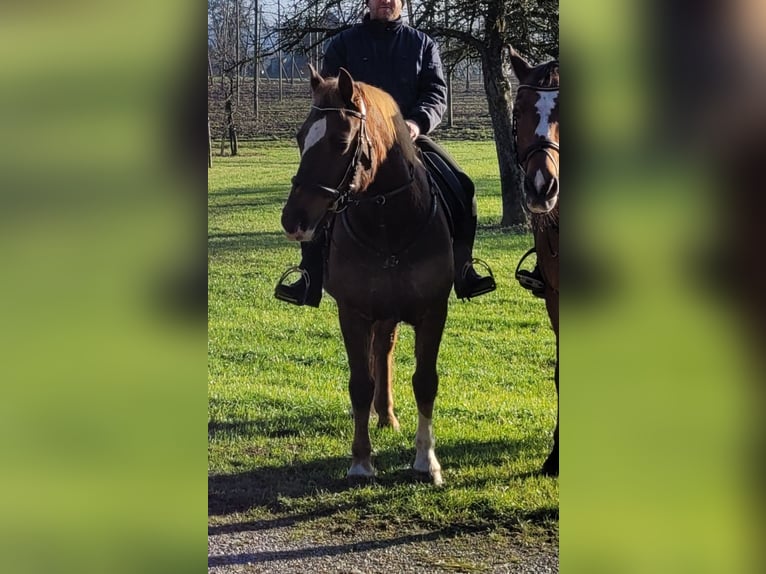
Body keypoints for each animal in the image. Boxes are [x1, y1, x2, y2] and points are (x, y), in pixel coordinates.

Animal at [280, 66, 450, 486]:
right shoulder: (353, 312)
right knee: (380, 354)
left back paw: (387, 416)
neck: (387, 223)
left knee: (385, 351)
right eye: (300, 137)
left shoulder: (433, 311)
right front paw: (360, 461)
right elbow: (360, 383)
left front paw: (427, 461)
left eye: (341, 141)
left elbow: (425, 381)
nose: (293, 221)